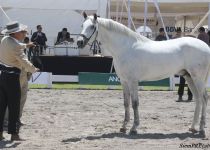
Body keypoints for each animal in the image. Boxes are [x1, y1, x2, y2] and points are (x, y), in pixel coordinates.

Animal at [77, 13, 210, 138]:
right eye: (82, 25)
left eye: (92, 26)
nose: (79, 42)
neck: (125, 48)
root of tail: (205, 46)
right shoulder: (124, 81)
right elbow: (126, 103)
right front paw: (123, 127)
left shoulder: (133, 81)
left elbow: (135, 103)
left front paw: (134, 128)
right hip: (189, 77)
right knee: (198, 99)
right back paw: (193, 128)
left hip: (198, 78)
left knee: (204, 98)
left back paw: (202, 130)